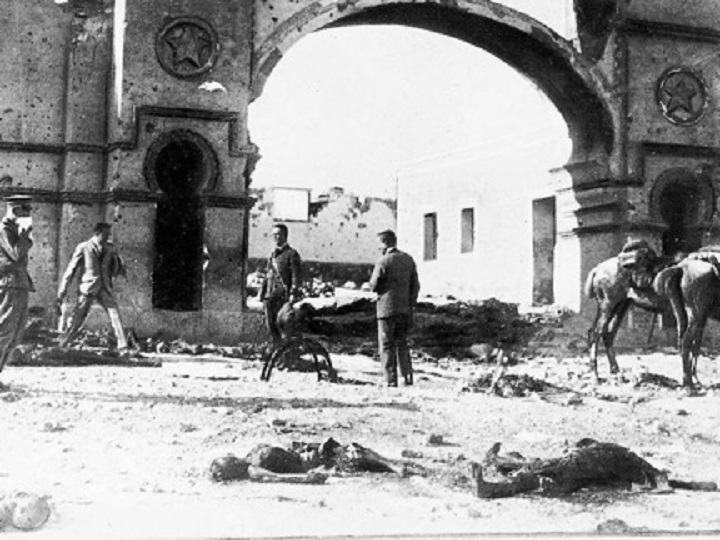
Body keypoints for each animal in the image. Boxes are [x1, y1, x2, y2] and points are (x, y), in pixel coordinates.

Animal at [584, 240, 676, 380]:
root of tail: (596, 269)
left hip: (620, 307)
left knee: (608, 333)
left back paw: (614, 369)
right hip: (608, 306)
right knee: (595, 333)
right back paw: (595, 372)